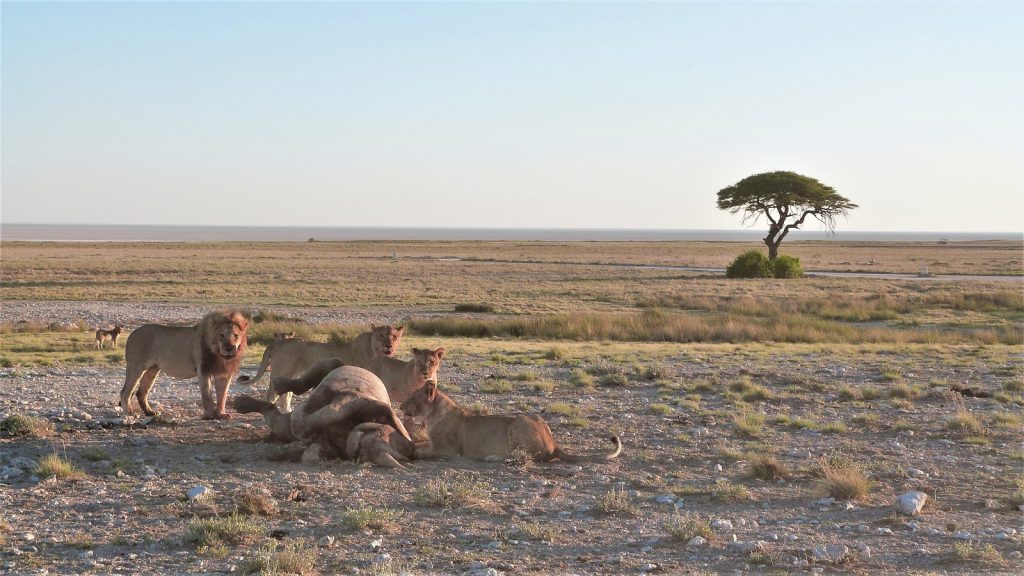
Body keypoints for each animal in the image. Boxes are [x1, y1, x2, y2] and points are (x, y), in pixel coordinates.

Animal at [118, 309, 247, 416]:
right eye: (221, 335)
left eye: (236, 335)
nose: (229, 348)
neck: (220, 356)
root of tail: (131, 334)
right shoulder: (203, 369)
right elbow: (207, 394)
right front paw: (210, 415)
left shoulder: (224, 373)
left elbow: (222, 395)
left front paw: (221, 414)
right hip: (136, 367)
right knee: (125, 391)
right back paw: (129, 411)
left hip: (152, 369)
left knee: (141, 392)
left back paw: (149, 412)